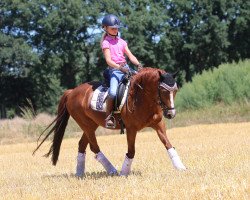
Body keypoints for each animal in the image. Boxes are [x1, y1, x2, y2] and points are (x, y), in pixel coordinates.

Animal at [32, 67, 186, 177]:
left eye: (175, 90)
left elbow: (168, 144)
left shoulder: (158, 124)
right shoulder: (131, 129)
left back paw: (80, 173)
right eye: (163, 90)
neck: (142, 97)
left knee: (82, 145)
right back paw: (112, 171)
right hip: (87, 125)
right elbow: (131, 151)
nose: (171, 114)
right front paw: (124, 173)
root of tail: (71, 92)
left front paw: (181, 167)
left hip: (91, 125)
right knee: (94, 147)